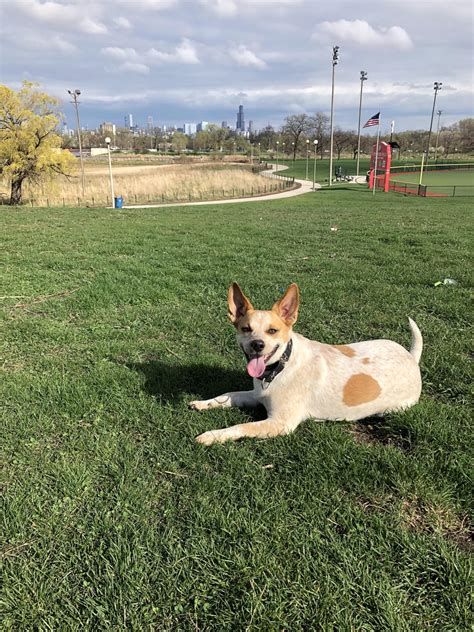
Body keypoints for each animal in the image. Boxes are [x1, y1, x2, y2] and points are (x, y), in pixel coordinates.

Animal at [191, 284, 424, 446]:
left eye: (272, 331)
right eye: (246, 328)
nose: (257, 344)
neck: (280, 368)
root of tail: (411, 357)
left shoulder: (280, 424)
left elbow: (241, 427)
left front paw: (212, 435)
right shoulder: (255, 396)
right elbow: (228, 395)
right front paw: (203, 403)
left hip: (393, 408)